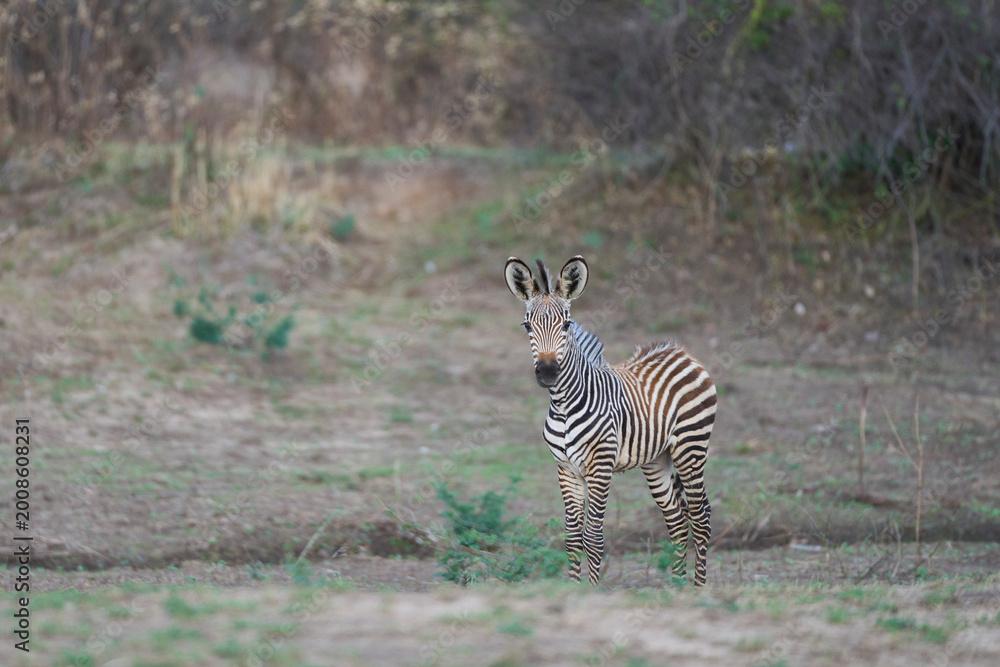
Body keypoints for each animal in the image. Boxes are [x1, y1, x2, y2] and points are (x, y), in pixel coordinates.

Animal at [504, 255, 717, 586]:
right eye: (527, 325)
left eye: (566, 324)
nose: (548, 372)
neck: (563, 404)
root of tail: (680, 351)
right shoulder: (565, 469)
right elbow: (572, 536)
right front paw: (573, 586)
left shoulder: (600, 466)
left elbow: (593, 536)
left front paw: (591, 589)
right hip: (657, 460)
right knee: (677, 521)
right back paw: (676, 587)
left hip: (690, 448)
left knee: (701, 516)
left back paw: (697, 588)